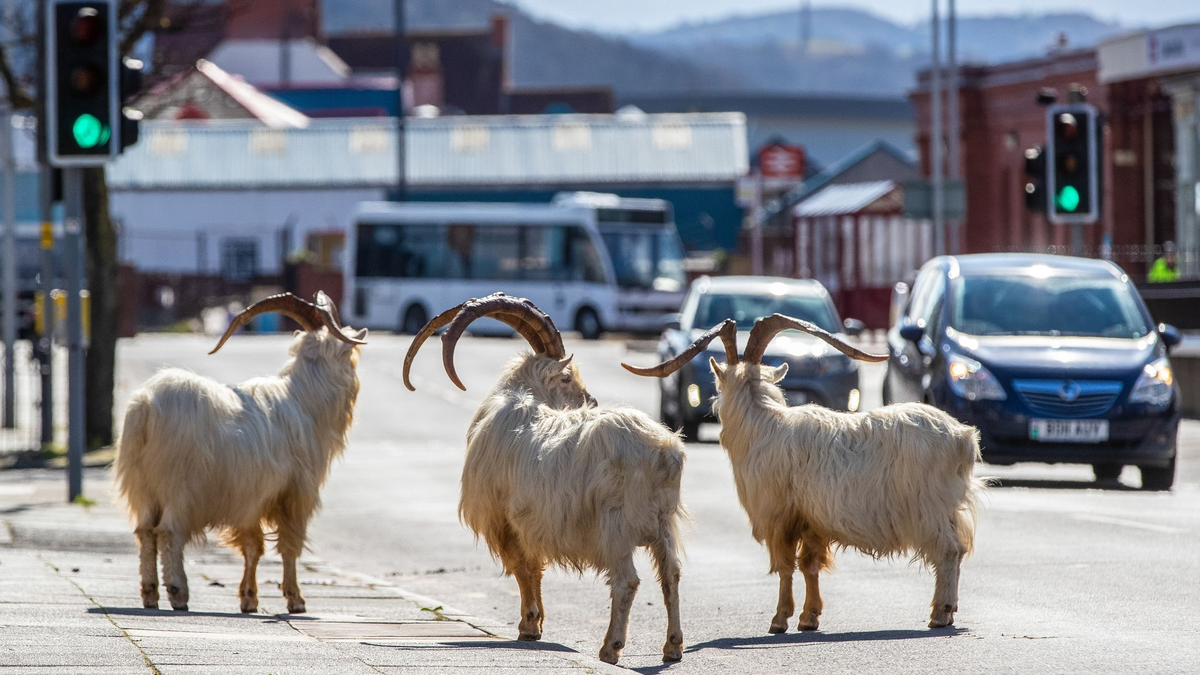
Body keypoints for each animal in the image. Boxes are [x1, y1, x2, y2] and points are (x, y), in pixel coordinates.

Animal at [115, 292, 367, 614]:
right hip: (179, 485)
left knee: (145, 531)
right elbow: (289, 545)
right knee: (170, 532)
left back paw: (149, 594)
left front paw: (249, 598)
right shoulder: (295, 493)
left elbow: (252, 546)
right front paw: (295, 600)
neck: (304, 400)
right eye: (351, 356)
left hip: (142, 485)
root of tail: (147, 405)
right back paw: (178, 593)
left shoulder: (250, 497)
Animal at [403, 293, 686, 665]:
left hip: (615, 525)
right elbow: (534, 568)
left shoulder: (505, 520)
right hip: (663, 524)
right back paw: (673, 647)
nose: (590, 400)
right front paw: (536, 624)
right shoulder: (530, 522)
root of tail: (663, 452)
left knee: (626, 581)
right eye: (567, 378)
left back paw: (610, 648)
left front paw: (528, 626)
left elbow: (522, 568)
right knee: (671, 574)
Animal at [624, 315, 981, 632]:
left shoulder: (779, 515)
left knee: (948, 551)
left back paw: (940, 613)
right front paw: (809, 618)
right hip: (948, 507)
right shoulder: (812, 520)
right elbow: (810, 565)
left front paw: (779, 620)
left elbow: (784, 566)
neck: (762, 424)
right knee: (960, 549)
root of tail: (961, 437)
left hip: (928, 508)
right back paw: (948, 611)